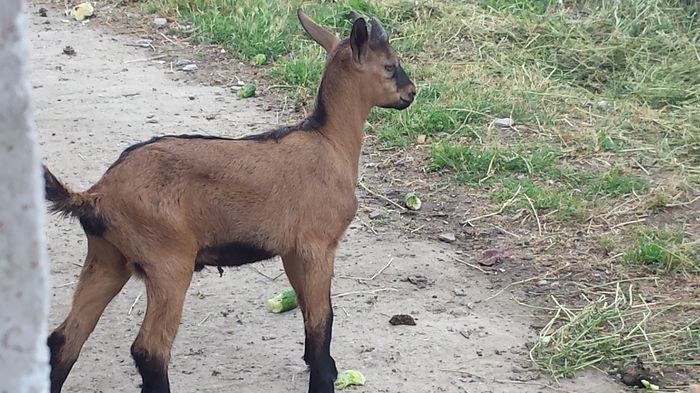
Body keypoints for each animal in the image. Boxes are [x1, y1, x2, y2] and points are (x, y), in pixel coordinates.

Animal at [42, 8, 416, 392]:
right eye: (390, 65)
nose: (411, 93)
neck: (327, 141)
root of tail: (97, 194)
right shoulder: (317, 245)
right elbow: (321, 318)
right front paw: (325, 377)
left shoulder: (291, 251)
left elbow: (308, 312)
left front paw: (318, 364)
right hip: (168, 262)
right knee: (149, 349)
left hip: (106, 259)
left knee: (65, 338)